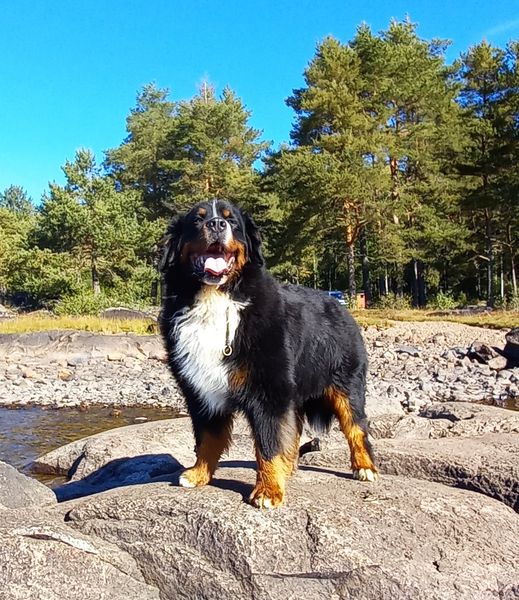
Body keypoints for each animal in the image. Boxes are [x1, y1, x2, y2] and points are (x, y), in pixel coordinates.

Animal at [158, 199, 378, 508]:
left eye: (231, 221)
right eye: (197, 220)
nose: (216, 224)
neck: (216, 300)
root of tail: (341, 305)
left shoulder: (268, 389)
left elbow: (269, 442)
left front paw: (268, 490)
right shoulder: (200, 390)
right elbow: (207, 437)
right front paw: (198, 474)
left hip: (346, 386)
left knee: (356, 427)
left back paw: (364, 467)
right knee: (295, 430)